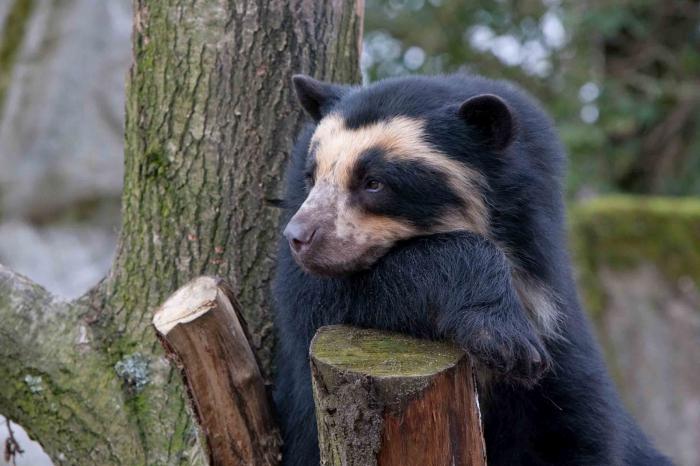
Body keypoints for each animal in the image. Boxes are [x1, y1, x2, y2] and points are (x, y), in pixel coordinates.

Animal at [270, 73, 672, 466]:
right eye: (311, 177)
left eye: (374, 183)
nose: (298, 236)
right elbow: (319, 299)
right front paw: (508, 340)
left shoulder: (555, 322)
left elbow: (573, 427)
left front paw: (515, 353)